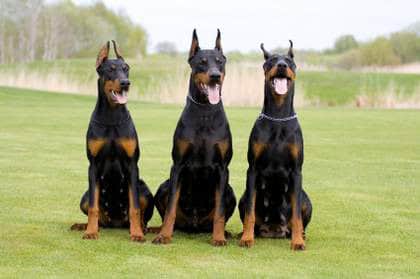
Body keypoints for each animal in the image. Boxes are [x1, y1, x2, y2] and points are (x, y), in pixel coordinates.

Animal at [70, 40, 154, 242]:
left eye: (127, 68)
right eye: (111, 69)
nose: (126, 83)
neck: (112, 115)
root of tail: (116, 223)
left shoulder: (132, 164)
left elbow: (134, 207)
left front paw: (137, 234)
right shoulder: (93, 165)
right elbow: (93, 207)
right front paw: (90, 232)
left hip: (144, 189)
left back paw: (142, 228)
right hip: (84, 197)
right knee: (95, 212)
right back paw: (84, 225)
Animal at [152, 29, 238, 246]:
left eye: (220, 62)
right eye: (202, 62)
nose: (215, 75)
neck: (205, 112)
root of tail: (194, 225)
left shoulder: (223, 168)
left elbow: (220, 212)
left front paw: (218, 238)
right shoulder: (178, 165)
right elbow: (171, 208)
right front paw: (164, 235)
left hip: (230, 191)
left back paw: (225, 233)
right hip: (163, 186)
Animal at [236, 42, 312, 252]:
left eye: (289, 61)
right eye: (270, 61)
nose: (281, 66)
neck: (278, 116)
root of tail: (275, 229)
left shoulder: (296, 171)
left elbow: (296, 215)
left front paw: (297, 242)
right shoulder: (252, 169)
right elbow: (250, 213)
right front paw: (246, 239)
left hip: (306, 199)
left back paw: (301, 235)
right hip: (242, 198)